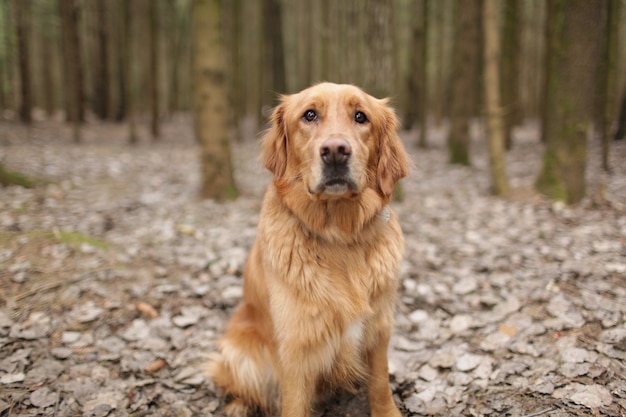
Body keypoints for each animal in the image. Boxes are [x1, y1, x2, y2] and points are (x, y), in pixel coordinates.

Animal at [206, 82, 410, 416]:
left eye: (361, 116)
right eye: (309, 115)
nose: (336, 151)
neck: (338, 236)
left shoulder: (379, 329)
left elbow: (380, 384)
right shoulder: (297, 347)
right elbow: (294, 404)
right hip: (241, 351)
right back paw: (238, 406)